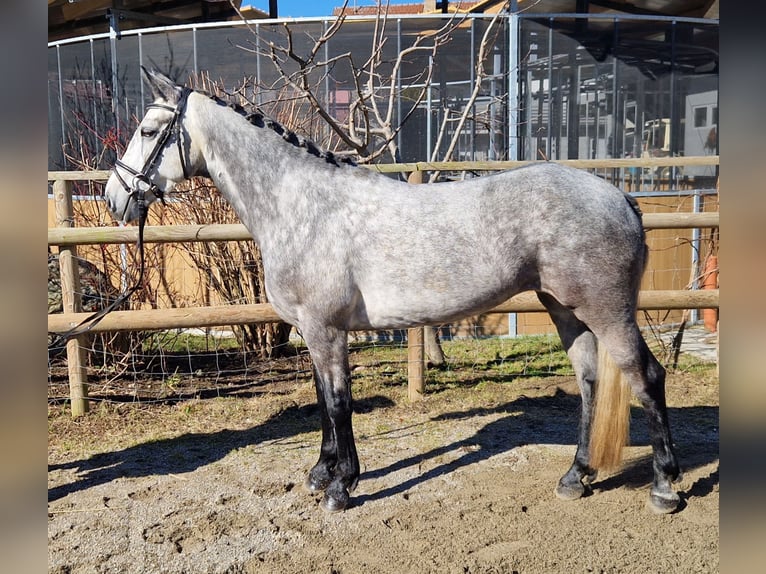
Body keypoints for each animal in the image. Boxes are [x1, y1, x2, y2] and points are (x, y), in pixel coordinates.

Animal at [103, 68, 684, 516]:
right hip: (565, 310)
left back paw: (664, 487)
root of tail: (619, 196)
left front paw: (341, 487)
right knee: (590, 381)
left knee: (647, 378)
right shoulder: (314, 332)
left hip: (606, 311)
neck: (300, 204)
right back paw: (575, 476)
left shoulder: (326, 331)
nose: (114, 198)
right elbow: (321, 400)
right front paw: (320, 472)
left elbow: (339, 403)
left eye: (149, 129)